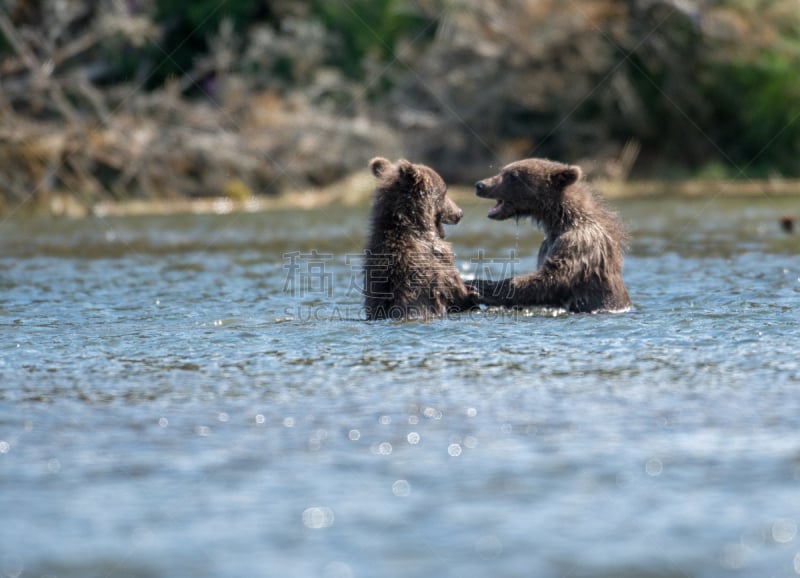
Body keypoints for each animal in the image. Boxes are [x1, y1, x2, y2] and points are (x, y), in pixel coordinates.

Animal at [468, 156, 632, 310]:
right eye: (502, 171)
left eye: (513, 175)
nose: (480, 185)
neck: (560, 219)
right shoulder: (547, 244)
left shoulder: (580, 242)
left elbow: (552, 277)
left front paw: (479, 286)